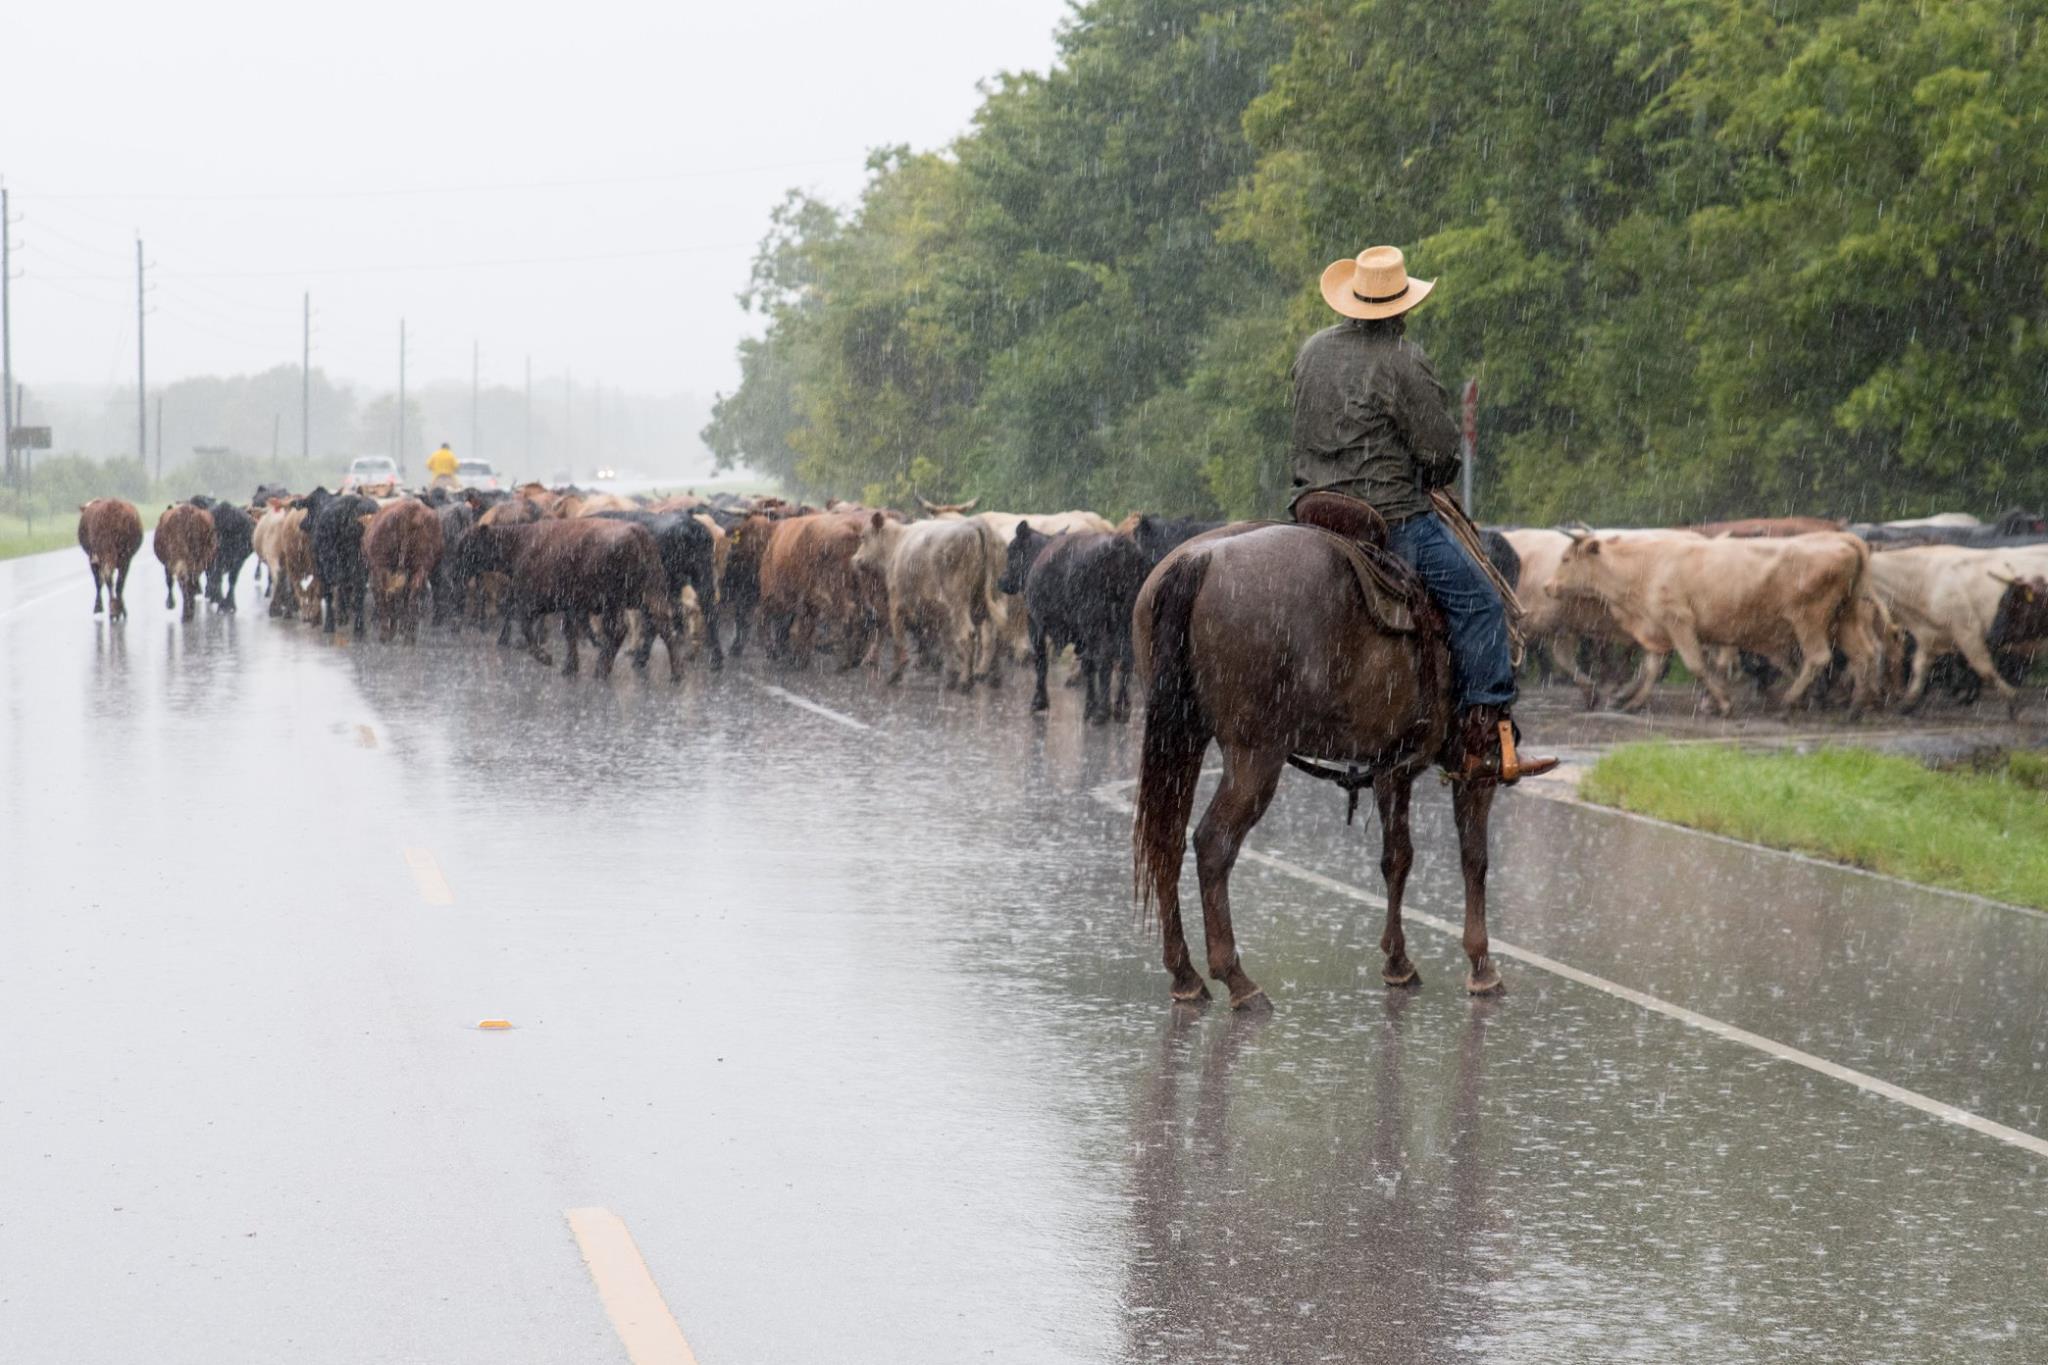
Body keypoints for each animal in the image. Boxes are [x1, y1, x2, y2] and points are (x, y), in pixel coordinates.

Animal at [364, 501, 444, 646]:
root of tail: (409, 510)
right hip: (420, 567)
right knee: (412, 596)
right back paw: (409, 635)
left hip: (382, 568)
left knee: (387, 596)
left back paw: (386, 634)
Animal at [1003, 523, 1155, 724]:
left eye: (1011, 551)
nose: (1001, 581)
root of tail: (1120, 545)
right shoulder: (1080, 637)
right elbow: (1087, 666)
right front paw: (1089, 707)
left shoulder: (1035, 624)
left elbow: (1041, 662)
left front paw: (1039, 702)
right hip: (1126, 623)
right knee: (1125, 662)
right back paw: (1120, 709)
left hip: (1096, 625)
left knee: (1105, 660)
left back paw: (1102, 712)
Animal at [1130, 527, 1499, 1010]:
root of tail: (1200, 560)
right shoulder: (1475, 766)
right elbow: (1474, 858)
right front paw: (1482, 966)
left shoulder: (1392, 769)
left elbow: (1397, 857)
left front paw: (1398, 962)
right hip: (1255, 756)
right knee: (1213, 843)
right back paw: (1238, 980)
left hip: (1184, 739)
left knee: (1167, 840)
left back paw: (1185, 975)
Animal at [1540, 532, 1875, 716]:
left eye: (1567, 559)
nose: (1547, 586)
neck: (1645, 566)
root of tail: (1845, 540)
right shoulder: (1658, 628)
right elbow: (1650, 669)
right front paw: (1632, 702)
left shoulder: (1679, 620)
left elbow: (1697, 665)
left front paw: (1724, 703)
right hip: (1845, 617)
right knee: (1863, 655)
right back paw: (1856, 707)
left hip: (1808, 618)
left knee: (1818, 658)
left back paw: (1790, 702)